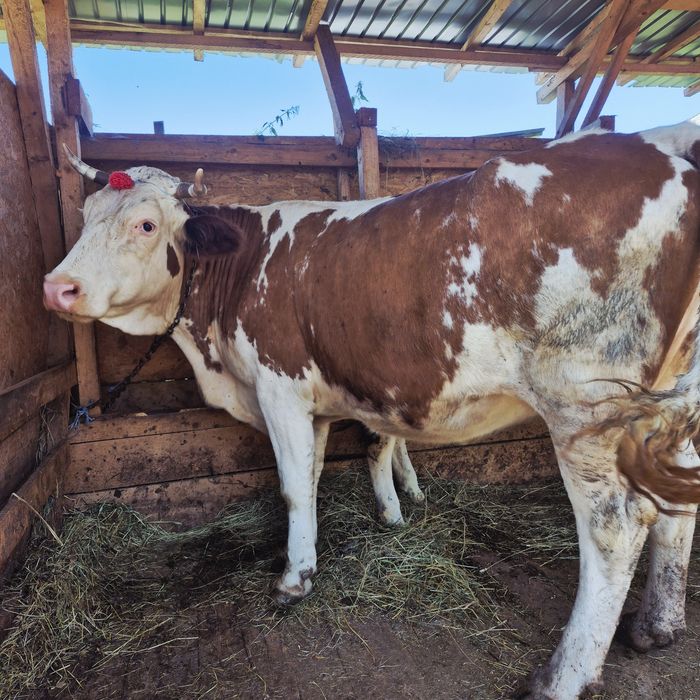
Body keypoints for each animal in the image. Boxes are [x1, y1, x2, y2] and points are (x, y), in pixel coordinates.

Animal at [43, 121, 700, 699]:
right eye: (85, 216)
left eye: (146, 224)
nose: (57, 287)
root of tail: (662, 143)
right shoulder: (315, 405)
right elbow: (313, 476)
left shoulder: (279, 389)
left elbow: (292, 486)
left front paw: (293, 579)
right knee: (678, 502)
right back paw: (658, 625)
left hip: (586, 407)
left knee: (616, 528)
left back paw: (564, 676)